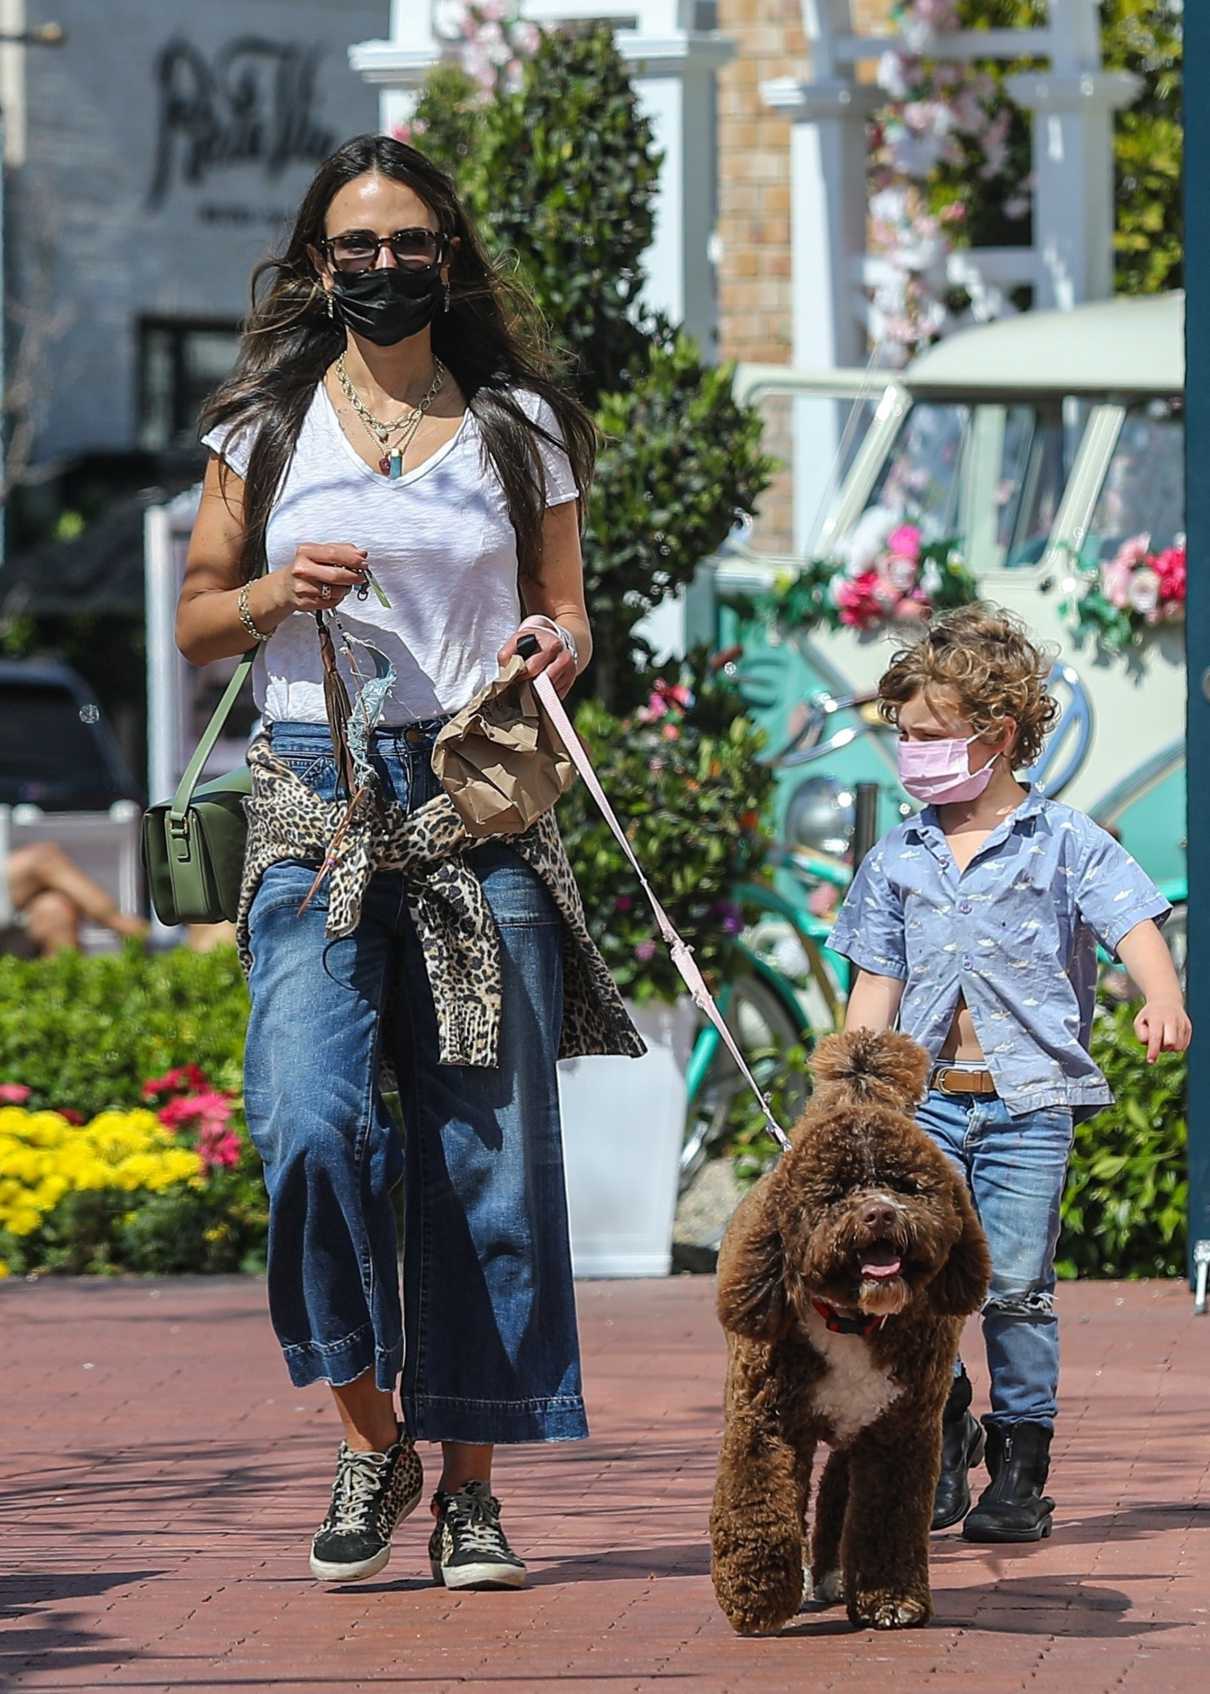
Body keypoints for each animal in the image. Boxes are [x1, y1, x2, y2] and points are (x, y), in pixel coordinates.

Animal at [708, 1023, 989, 1633]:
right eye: (835, 1192)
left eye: (905, 1186)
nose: (879, 1213)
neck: (852, 1321)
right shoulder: (765, 1422)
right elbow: (760, 1507)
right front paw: (758, 1595)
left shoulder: (897, 1433)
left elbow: (888, 1520)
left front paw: (889, 1599)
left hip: (854, 1432)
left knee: (838, 1495)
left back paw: (834, 1574)